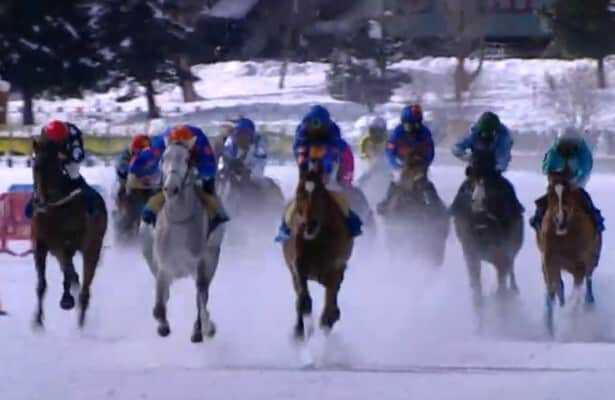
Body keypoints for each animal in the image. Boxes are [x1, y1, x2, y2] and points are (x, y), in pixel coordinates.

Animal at [31, 136, 107, 330]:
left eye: (50, 167)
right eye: (35, 167)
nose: (40, 202)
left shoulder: (65, 242)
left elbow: (69, 270)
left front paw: (69, 298)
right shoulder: (41, 243)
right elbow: (42, 283)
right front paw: (37, 319)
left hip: (92, 247)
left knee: (85, 285)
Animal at [141, 139, 225, 342]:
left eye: (187, 159)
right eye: (164, 157)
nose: (171, 188)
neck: (179, 222)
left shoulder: (200, 263)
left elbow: (201, 298)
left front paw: (206, 328)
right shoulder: (162, 265)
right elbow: (159, 304)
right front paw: (163, 325)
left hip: (212, 257)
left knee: (202, 294)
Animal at [282, 147, 354, 340]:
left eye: (320, 194)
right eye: (299, 193)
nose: (310, 225)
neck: (318, 239)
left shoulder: (336, 265)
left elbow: (330, 302)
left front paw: (328, 319)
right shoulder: (298, 263)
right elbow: (303, 299)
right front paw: (301, 330)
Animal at [452, 150, 524, 310]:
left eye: (491, 177)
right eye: (471, 175)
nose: (478, 202)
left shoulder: (502, 255)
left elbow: (501, 287)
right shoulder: (471, 253)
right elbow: (477, 287)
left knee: (511, 269)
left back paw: (514, 289)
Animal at [540, 169, 600, 338]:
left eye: (569, 191)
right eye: (550, 191)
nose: (561, 218)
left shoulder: (580, 265)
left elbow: (575, 294)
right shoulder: (550, 263)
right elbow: (555, 289)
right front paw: (550, 326)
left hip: (591, 261)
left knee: (588, 281)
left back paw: (588, 303)